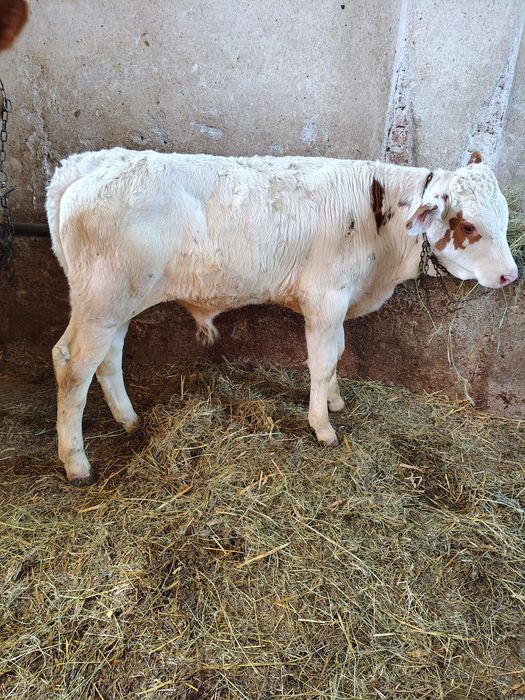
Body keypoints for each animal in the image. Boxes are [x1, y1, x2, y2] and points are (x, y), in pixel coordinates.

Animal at [46, 148, 518, 484]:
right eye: (469, 225)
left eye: (505, 215)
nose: (510, 274)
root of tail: (91, 163)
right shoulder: (325, 299)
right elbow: (323, 360)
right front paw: (322, 426)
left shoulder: (337, 305)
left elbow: (336, 354)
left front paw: (334, 400)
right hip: (102, 301)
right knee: (71, 363)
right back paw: (77, 463)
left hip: (116, 303)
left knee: (108, 359)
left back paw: (129, 421)